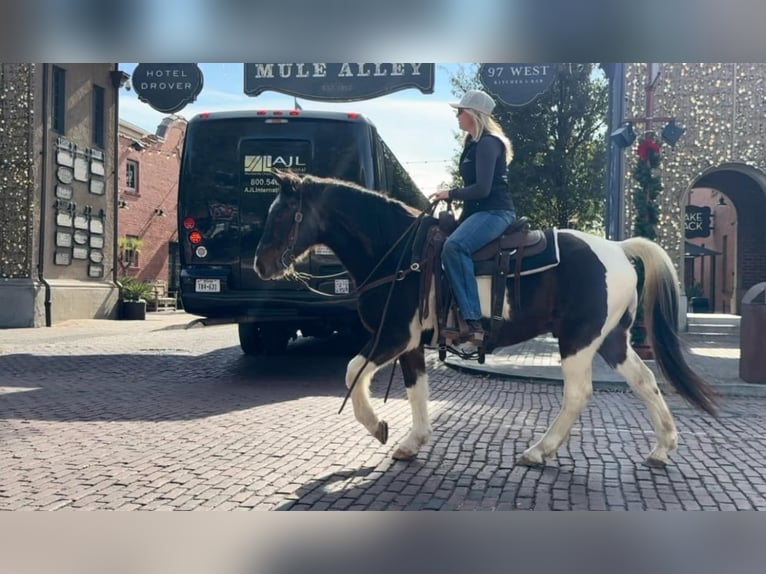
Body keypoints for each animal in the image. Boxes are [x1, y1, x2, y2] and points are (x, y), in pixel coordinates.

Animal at [256, 170, 720, 468]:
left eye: (279, 214)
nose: (260, 264)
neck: (398, 252)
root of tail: (619, 249)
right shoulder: (410, 343)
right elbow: (417, 390)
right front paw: (413, 441)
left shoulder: (392, 335)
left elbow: (353, 370)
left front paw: (378, 427)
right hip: (612, 341)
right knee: (645, 382)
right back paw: (662, 448)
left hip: (578, 340)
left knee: (577, 394)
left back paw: (539, 451)